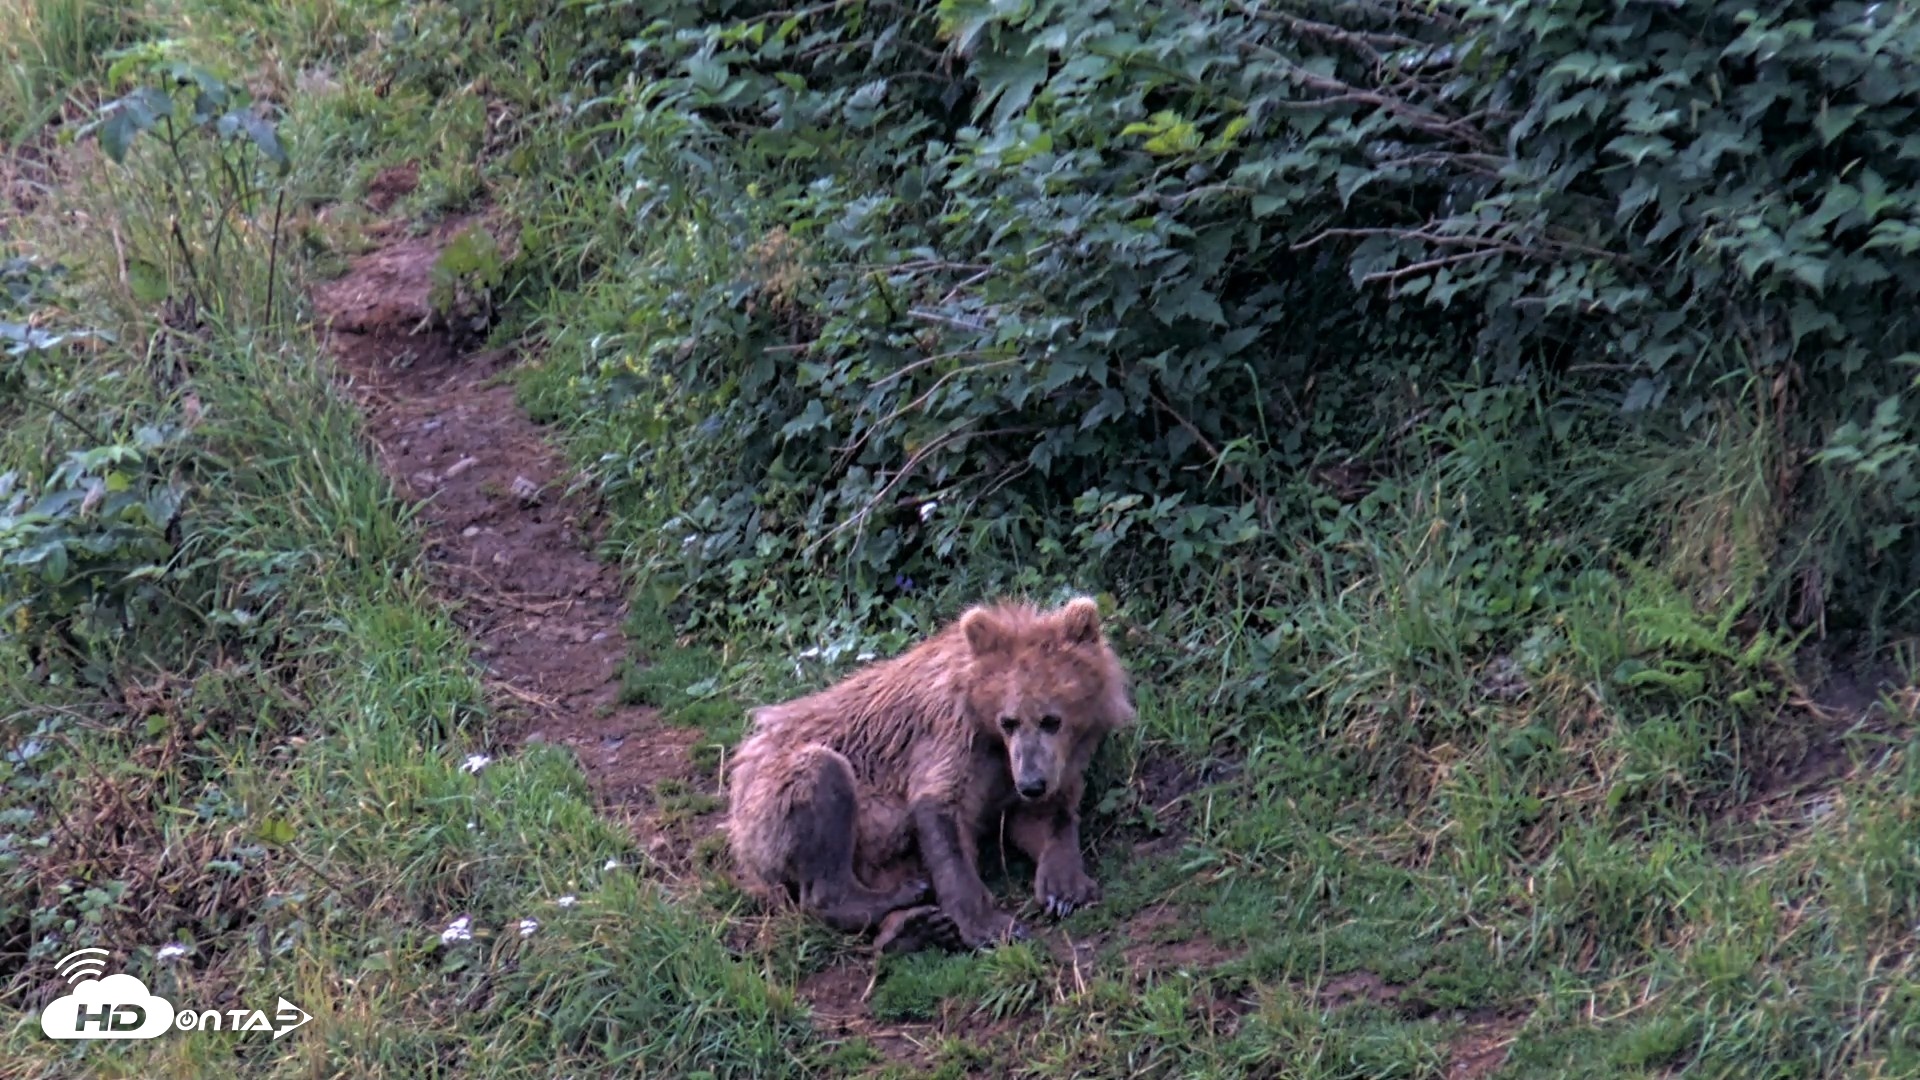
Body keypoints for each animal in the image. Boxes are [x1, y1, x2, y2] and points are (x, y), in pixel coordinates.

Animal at [724, 596, 1135, 952]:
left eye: (1051, 719)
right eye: (1009, 720)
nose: (1032, 783)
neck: (989, 734)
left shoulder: (1029, 770)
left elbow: (1045, 820)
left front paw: (1064, 889)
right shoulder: (950, 738)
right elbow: (943, 814)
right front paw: (989, 925)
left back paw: (912, 926)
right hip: (771, 805)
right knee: (822, 781)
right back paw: (898, 901)